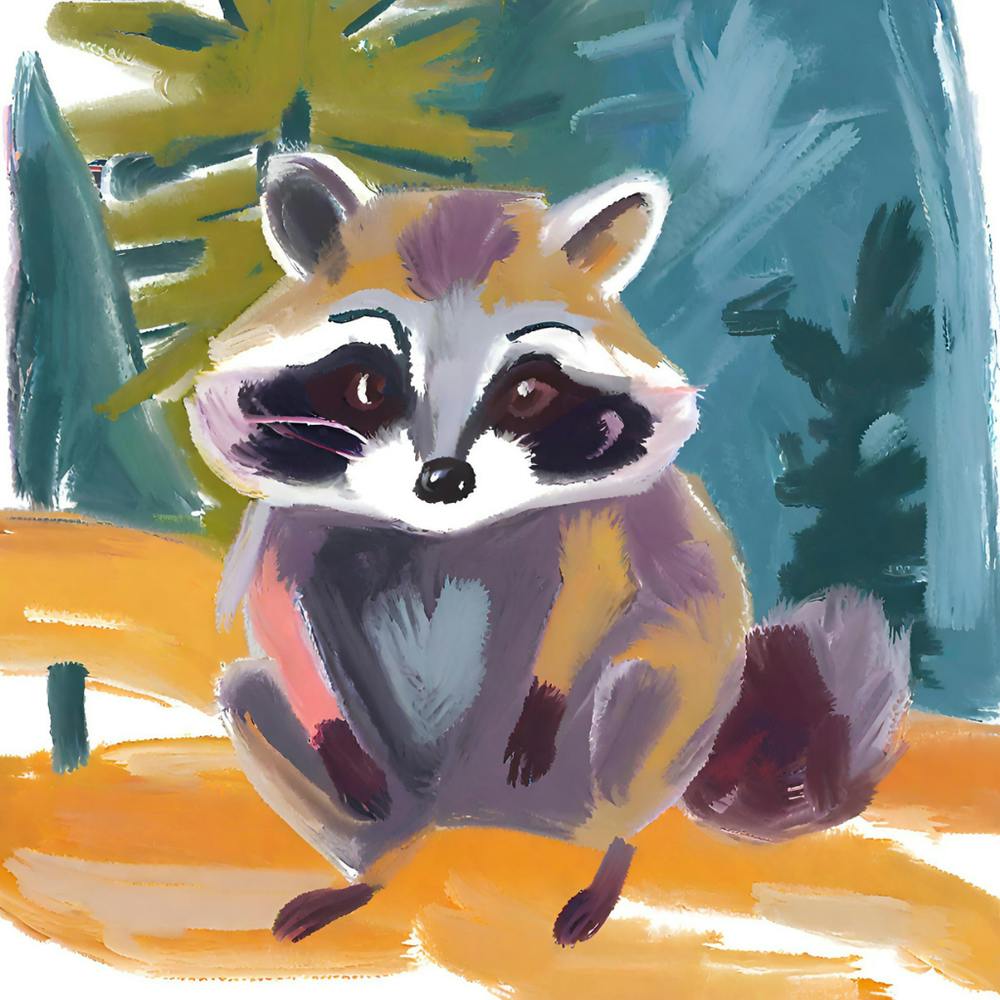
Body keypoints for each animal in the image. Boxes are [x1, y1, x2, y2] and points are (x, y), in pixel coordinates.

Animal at [185, 154, 909, 946]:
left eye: (529, 391)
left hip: (648, 737)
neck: (444, 530)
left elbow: (596, 589)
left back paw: (609, 854)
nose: (443, 480)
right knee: (251, 701)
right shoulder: (292, 518)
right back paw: (369, 870)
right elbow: (278, 605)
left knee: (640, 690)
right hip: (389, 786)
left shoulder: (593, 517)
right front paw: (322, 711)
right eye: (370, 386)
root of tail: (469, 811)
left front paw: (548, 692)